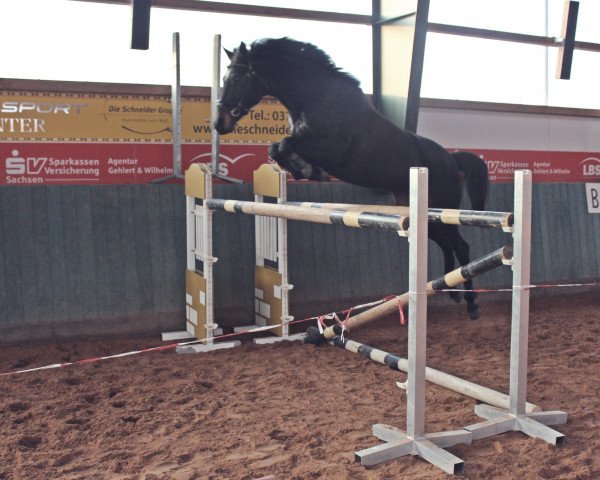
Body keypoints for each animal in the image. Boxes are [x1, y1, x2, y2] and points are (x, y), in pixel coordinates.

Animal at [214, 37, 488, 318]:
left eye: (237, 78)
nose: (219, 123)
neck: (315, 98)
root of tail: (451, 159)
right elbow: (277, 148)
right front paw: (304, 170)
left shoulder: (330, 149)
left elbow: (283, 145)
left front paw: (309, 171)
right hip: (420, 214)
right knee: (445, 244)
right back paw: (450, 291)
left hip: (444, 209)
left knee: (460, 246)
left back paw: (471, 303)